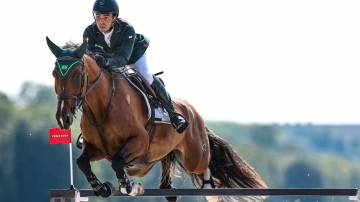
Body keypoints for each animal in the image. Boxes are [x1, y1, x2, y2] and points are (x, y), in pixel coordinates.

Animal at [46, 36, 268, 202]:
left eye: (77, 74)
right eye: (55, 74)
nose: (63, 118)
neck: (102, 107)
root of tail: (194, 113)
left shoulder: (139, 141)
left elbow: (117, 162)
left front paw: (128, 186)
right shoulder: (97, 148)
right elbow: (82, 162)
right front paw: (101, 188)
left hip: (194, 155)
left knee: (205, 164)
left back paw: (210, 191)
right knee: (168, 177)